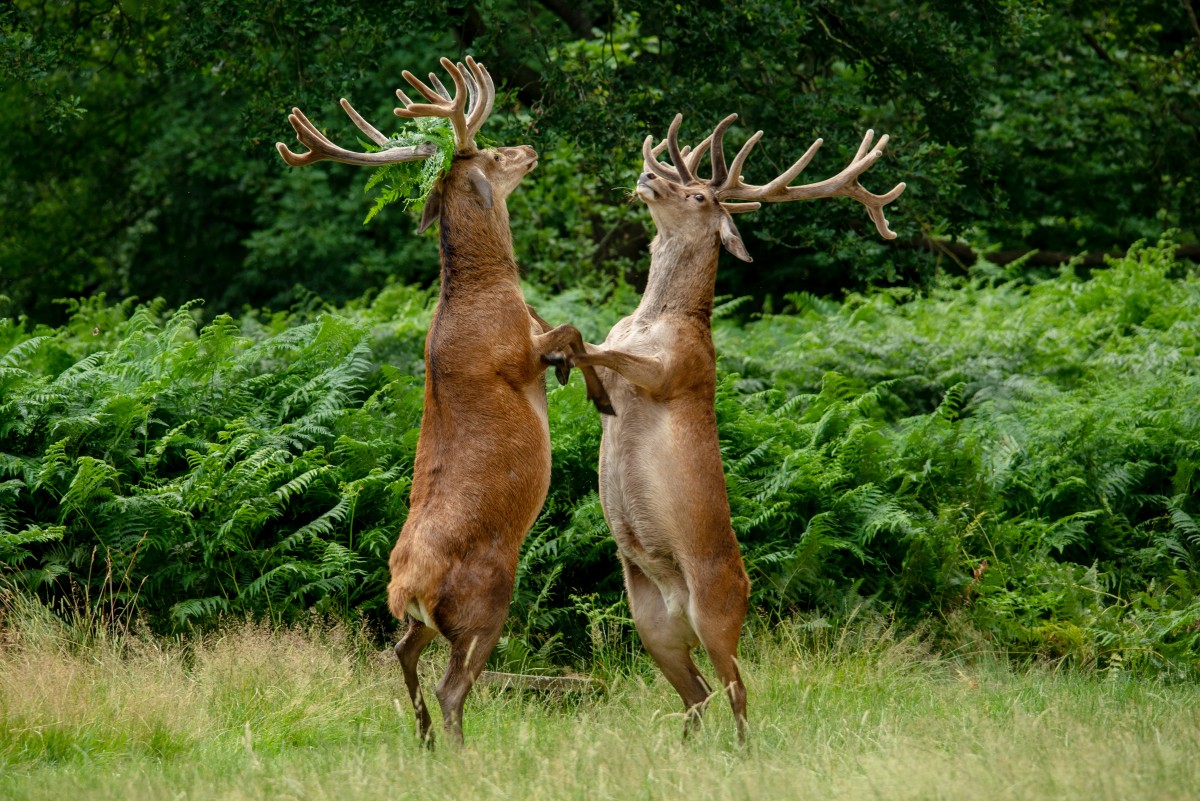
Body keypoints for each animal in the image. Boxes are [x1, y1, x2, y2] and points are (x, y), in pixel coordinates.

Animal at [276, 56, 612, 746]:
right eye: (492, 152)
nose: (529, 149)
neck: (488, 291)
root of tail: (407, 587)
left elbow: (568, 328)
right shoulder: (516, 353)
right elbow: (570, 330)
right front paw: (588, 385)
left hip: (423, 622)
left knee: (401, 654)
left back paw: (427, 738)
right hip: (487, 599)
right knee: (452, 685)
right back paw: (460, 748)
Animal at [568, 113, 906, 744]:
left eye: (699, 195)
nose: (647, 176)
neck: (654, 320)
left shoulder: (677, 371)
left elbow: (598, 347)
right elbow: (592, 349)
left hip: (717, 611)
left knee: (738, 690)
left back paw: (744, 752)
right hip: (650, 624)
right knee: (698, 694)